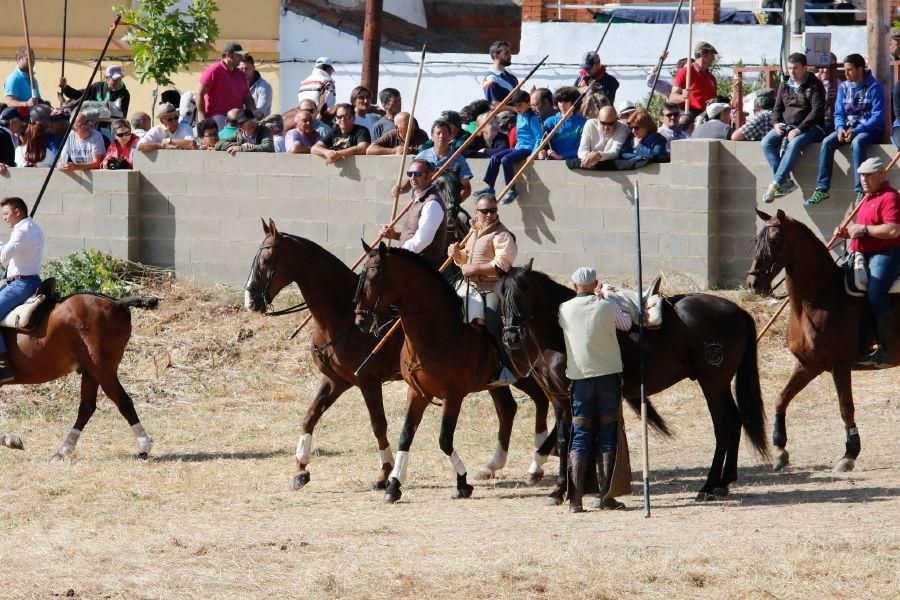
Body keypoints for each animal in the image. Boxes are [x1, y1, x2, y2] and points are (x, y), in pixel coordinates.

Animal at [0, 290, 158, 460]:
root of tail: (118, 303)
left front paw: (10, 440)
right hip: (92, 371)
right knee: (87, 407)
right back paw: (63, 450)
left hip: (102, 370)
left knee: (123, 402)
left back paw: (143, 446)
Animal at [246, 221, 556, 492]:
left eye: (267, 260)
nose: (251, 300)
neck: (339, 314)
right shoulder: (336, 380)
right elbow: (310, 416)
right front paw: (300, 470)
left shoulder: (367, 381)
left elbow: (378, 424)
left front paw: (385, 474)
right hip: (500, 380)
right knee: (511, 408)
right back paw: (499, 464)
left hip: (523, 372)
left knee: (542, 400)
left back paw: (540, 456)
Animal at [500, 264, 768, 500]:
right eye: (501, 293)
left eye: (523, 291)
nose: (511, 336)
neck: (561, 333)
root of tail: (738, 311)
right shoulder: (557, 398)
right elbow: (565, 438)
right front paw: (566, 489)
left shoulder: (571, 396)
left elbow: (572, 438)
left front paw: (570, 488)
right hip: (718, 384)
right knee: (734, 421)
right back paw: (724, 482)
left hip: (713, 383)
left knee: (724, 425)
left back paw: (709, 485)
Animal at [744, 211, 900, 474]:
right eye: (756, 240)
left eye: (774, 239)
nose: (753, 283)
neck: (818, 297)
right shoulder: (808, 364)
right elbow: (781, 398)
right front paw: (780, 451)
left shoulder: (840, 365)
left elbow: (845, 407)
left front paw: (849, 455)